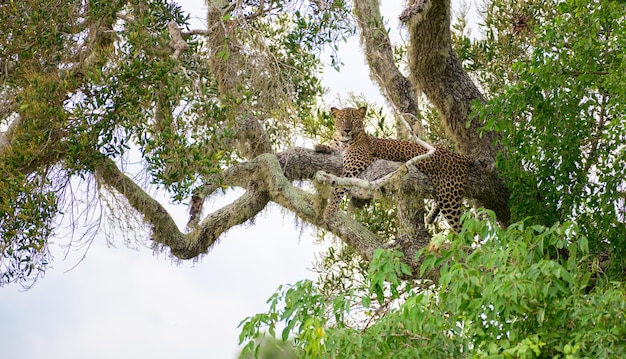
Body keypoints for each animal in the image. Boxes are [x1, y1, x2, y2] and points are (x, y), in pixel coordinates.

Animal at [320, 106, 470, 233]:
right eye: (341, 119)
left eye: (354, 119)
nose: (346, 130)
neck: (344, 142)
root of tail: (459, 156)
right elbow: (331, 149)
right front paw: (321, 147)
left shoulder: (355, 164)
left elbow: (338, 188)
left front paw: (329, 210)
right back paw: (430, 217)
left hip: (449, 197)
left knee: (463, 229)